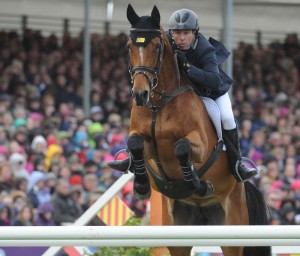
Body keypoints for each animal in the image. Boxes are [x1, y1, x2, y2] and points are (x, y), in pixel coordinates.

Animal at [114, 4, 270, 256]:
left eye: (156, 46)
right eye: (129, 46)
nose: (140, 95)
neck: (159, 103)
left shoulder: (201, 146)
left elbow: (181, 148)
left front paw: (196, 183)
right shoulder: (146, 145)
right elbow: (135, 144)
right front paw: (140, 185)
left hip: (232, 229)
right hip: (179, 231)